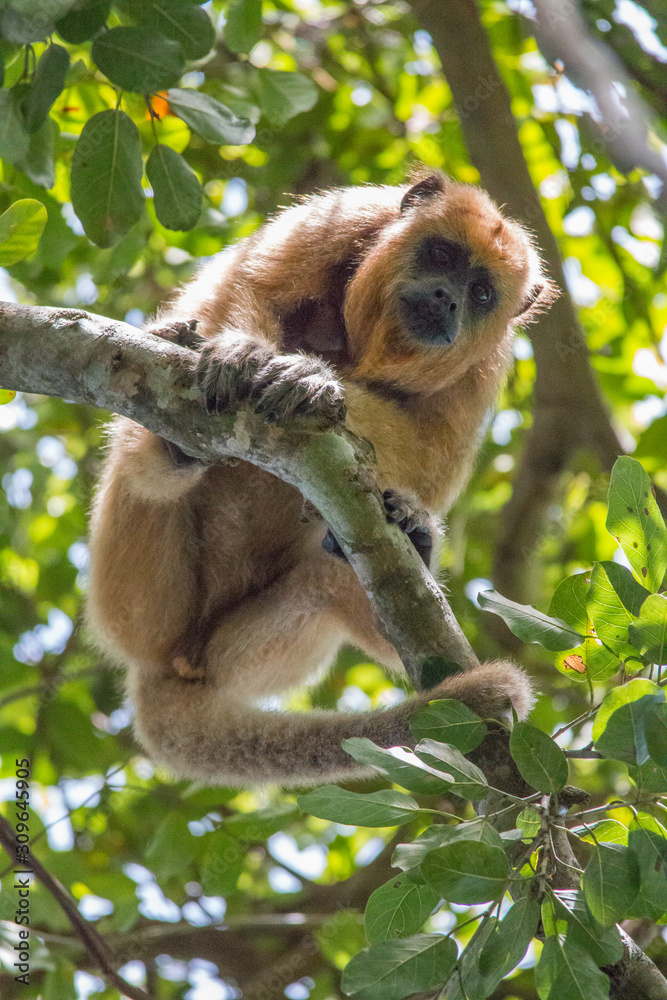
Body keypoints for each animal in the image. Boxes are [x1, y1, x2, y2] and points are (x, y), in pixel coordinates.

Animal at [86, 173, 555, 788]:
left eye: (482, 293)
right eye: (442, 254)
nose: (447, 298)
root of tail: (162, 667)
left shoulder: (486, 368)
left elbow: (430, 451)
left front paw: (309, 377)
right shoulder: (338, 219)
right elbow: (250, 289)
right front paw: (249, 353)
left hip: (244, 653)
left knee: (341, 572)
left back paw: (413, 548)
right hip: (133, 598)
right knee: (142, 462)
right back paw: (169, 452)